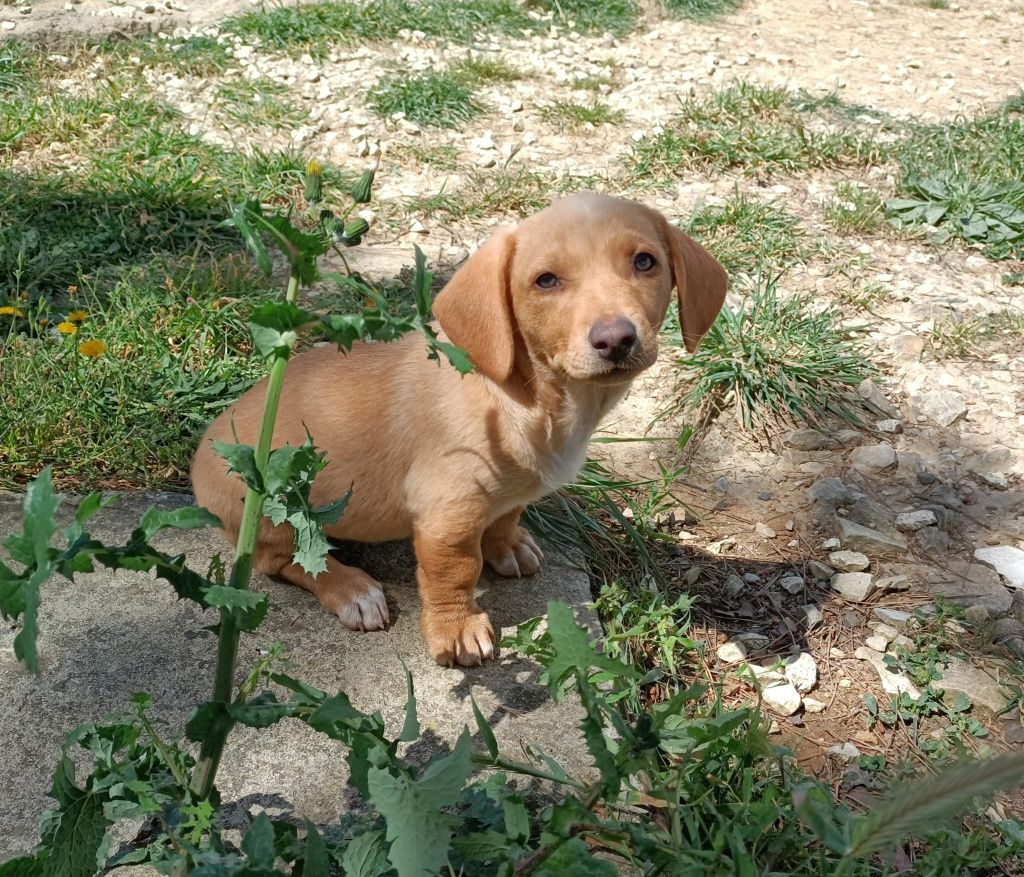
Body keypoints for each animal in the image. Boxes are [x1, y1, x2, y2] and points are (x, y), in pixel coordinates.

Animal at [192, 191, 729, 663]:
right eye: (546, 281)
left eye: (644, 262)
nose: (616, 339)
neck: (530, 397)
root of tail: (200, 455)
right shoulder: (446, 516)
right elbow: (454, 574)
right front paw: (456, 630)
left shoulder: (505, 495)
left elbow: (508, 514)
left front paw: (507, 545)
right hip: (272, 511)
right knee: (287, 560)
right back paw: (353, 590)